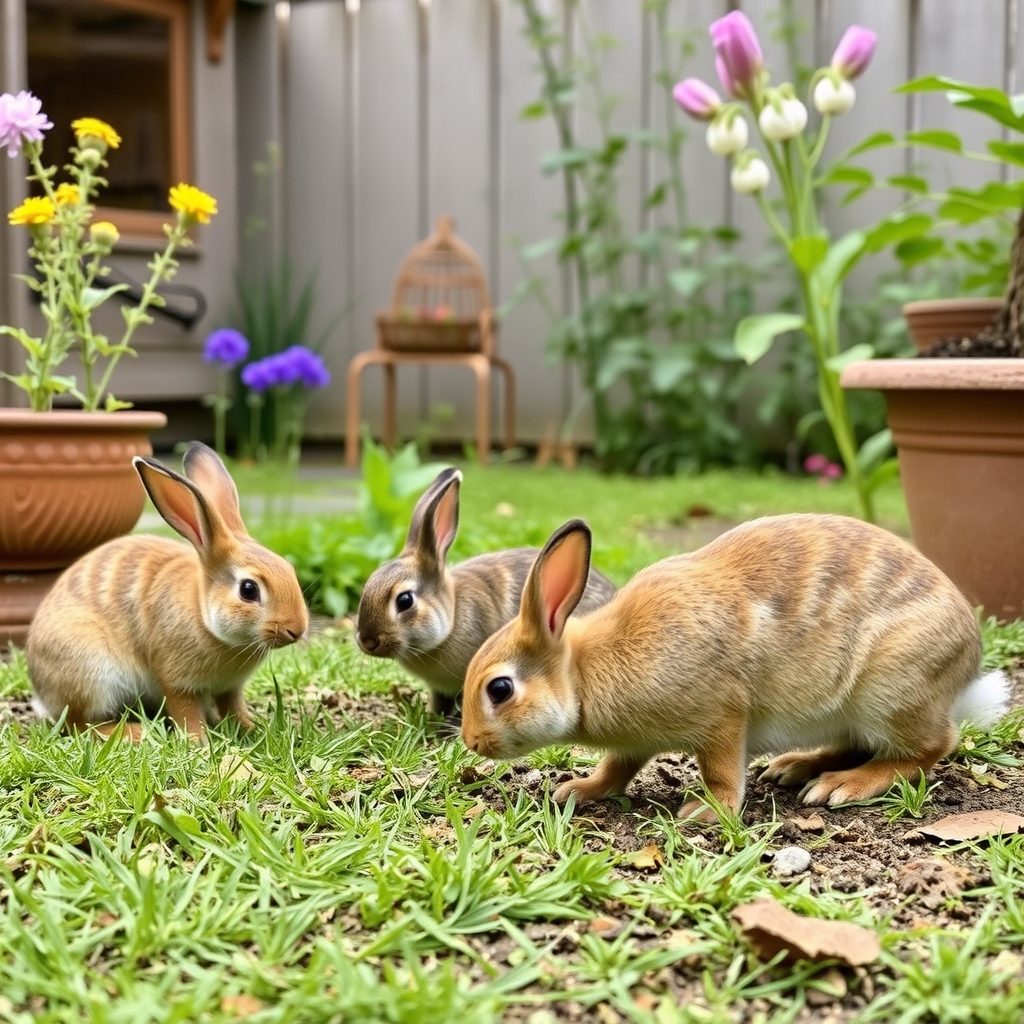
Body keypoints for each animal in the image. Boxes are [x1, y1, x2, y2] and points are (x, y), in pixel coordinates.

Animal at [27, 441, 309, 740]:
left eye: (289, 569)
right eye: (248, 589)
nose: (296, 629)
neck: (203, 614)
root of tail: (44, 694)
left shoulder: (229, 688)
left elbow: (233, 706)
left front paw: (250, 728)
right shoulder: (176, 681)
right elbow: (185, 710)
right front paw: (198, 741)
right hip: (91, 673)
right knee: (79, 724)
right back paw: (132, 731)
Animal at [460, 514, 1010, 821]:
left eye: (500, 689)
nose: (471, 742)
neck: (583, 673)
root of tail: (967, 668)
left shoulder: (722, 715)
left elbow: (722, 768)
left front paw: (706, 810)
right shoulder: (634, 743)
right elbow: (617, 769)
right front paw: (578, 791)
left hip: (889, 691)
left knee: (930, 747)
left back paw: (840, 786)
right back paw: (793, 768)